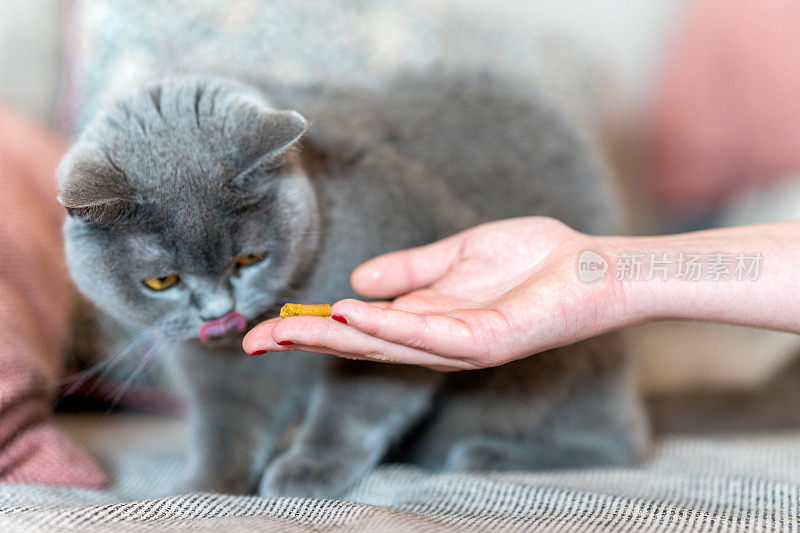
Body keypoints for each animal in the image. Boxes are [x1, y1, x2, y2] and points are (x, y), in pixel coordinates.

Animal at [59, 69, 648, 494]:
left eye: (249, 257)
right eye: (162, 281)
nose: (218, 312)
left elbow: (356, 404)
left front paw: (308, 470)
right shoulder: (215, 369)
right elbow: (226, 426)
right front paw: (201, 491)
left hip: (547, 372)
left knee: (619, 444)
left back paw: (482, 454)